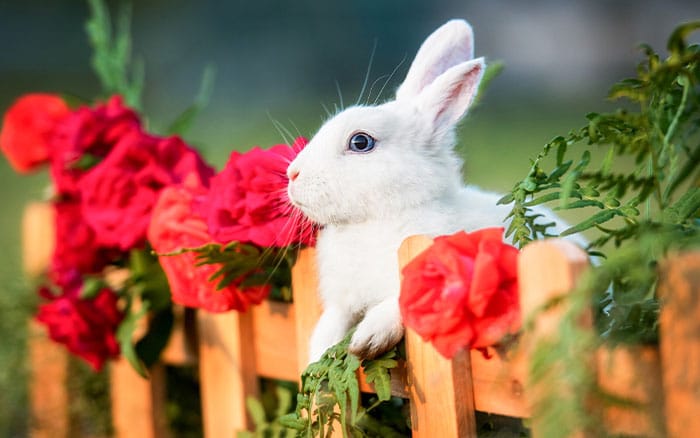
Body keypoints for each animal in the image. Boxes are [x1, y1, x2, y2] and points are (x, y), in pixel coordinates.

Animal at [288, 19, 584, 362]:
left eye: (360, 142)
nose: (292, 174)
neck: (376, 221)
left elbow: (399, 305)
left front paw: (368, 340)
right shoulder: (341, 303)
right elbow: (329, 325)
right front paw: (314, 359)